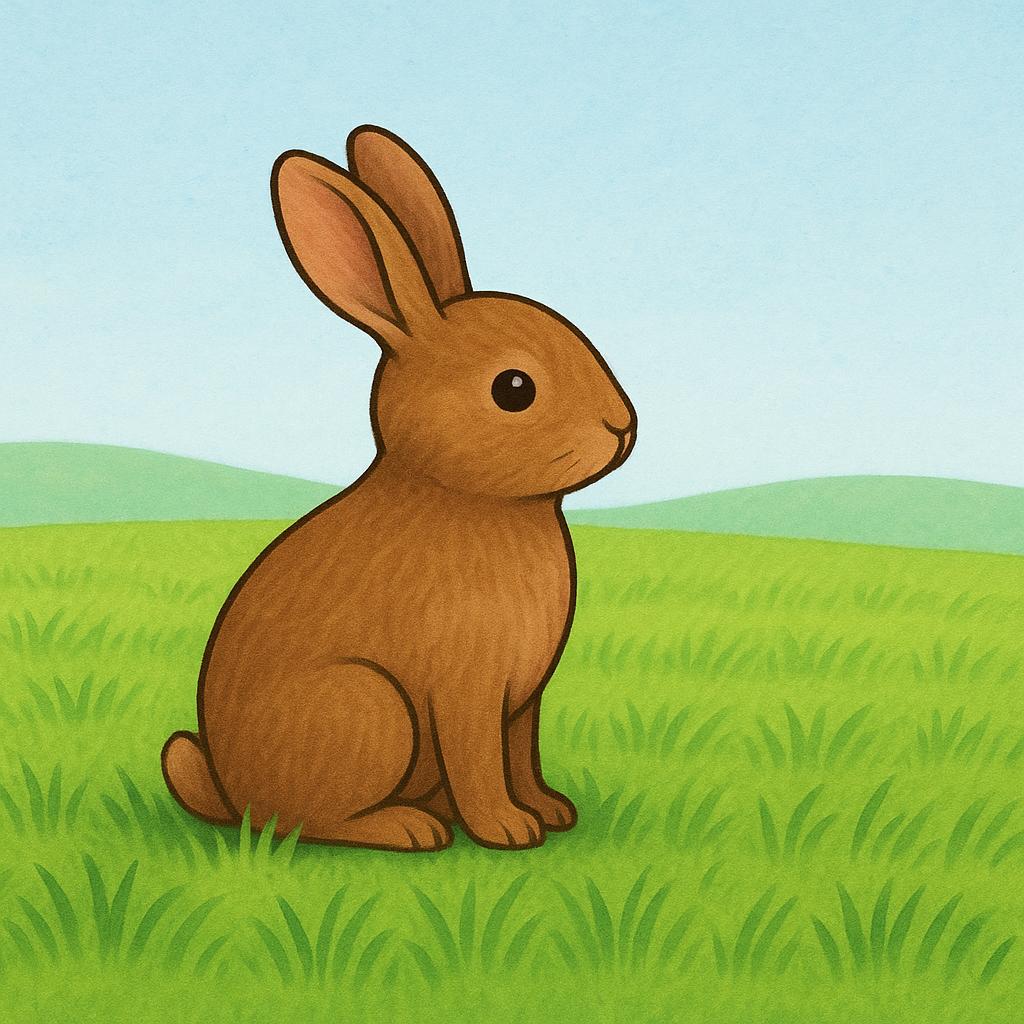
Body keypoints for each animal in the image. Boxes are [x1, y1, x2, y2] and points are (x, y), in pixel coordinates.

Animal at [162, 125, 636, 851]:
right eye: (514, 388)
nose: (622, 426)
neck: (465, 499)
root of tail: (230, 792)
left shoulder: (522, 706)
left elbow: (521, 759)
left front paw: (550, 811)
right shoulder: (467, 693)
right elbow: (480, 764)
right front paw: (507, 830)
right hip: (369, 707)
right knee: (307, 819)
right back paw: (411, 828)